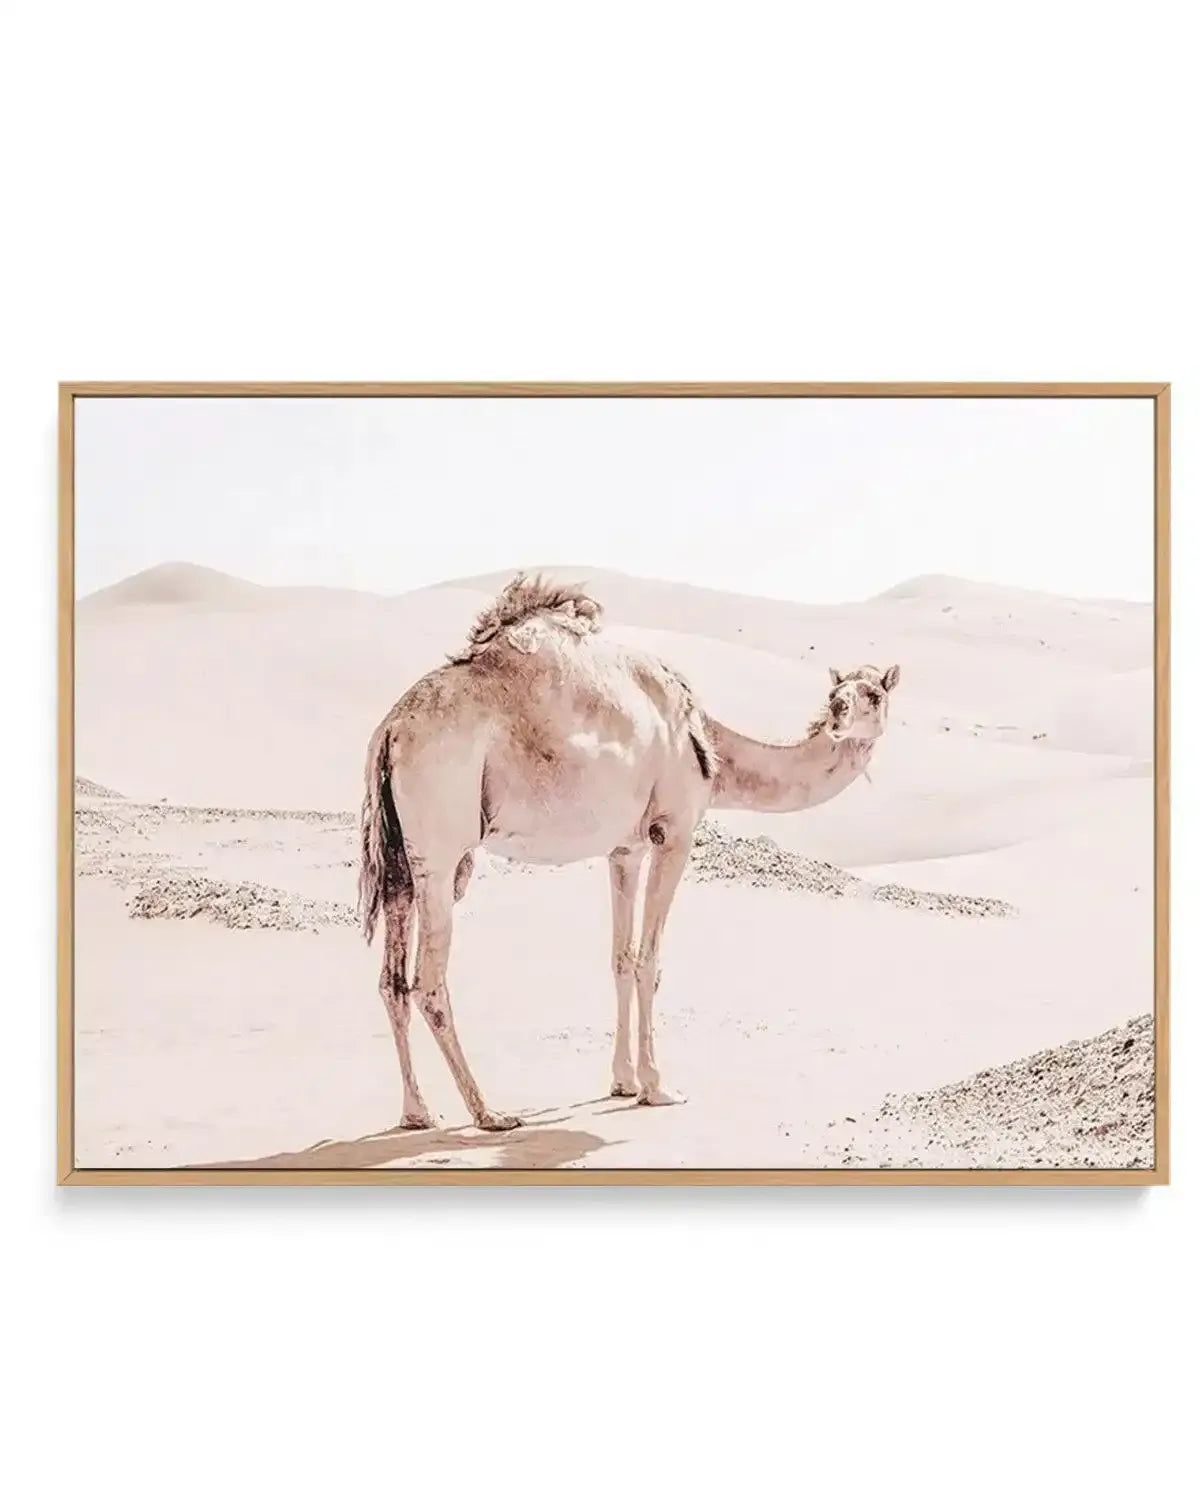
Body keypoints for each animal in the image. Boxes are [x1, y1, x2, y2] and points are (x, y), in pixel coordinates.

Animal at [359, 573, 899, 1131]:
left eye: (872, 693)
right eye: (839, 692)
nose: (837, 714)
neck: (711, 747)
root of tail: (391, 728)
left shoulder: (626, 849)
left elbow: (620, 956)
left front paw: (622, 1082)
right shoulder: (673, 834)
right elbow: (649, 959)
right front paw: (658, 1087)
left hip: (401, 858)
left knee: (391, 979)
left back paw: (418, 1112)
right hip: (442, 848)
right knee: (428, 982)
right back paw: (489, 1112)